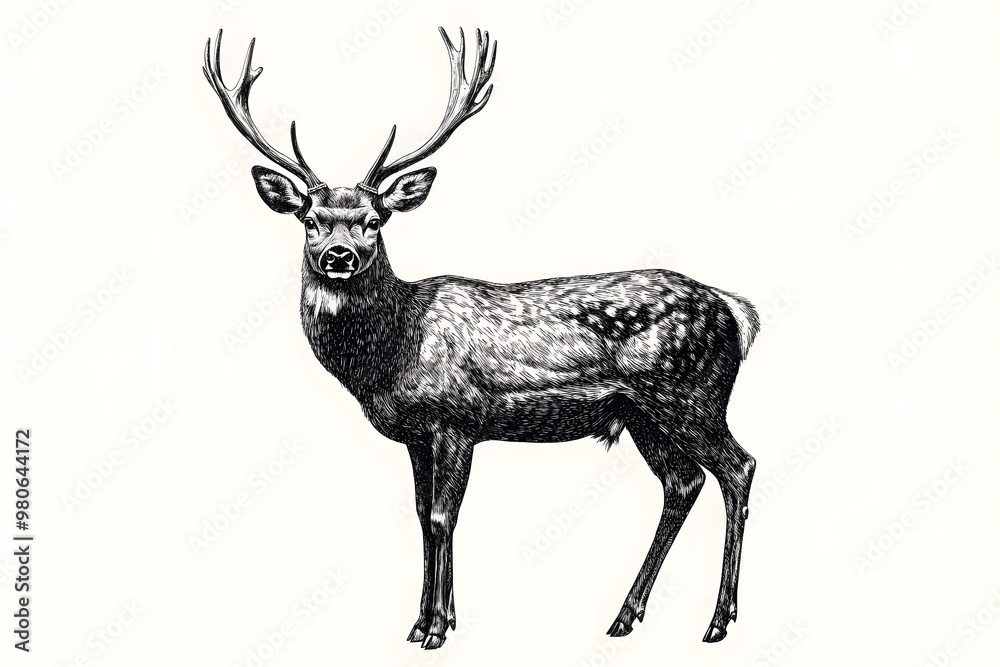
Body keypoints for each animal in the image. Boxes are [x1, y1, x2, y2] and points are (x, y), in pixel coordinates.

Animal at [203, 27, 759, 650]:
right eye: (310, 220)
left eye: (375, 221)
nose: (339, 255)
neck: (393, 353)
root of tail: (736, 311)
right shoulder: (416, 435)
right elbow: (421, 516)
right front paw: (422, 621)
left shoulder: (457, 419)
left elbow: (443, 516)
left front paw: (437, 629)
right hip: (646, 416)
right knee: (683, 483)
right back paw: (624, 617)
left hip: (692, 397)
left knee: (738, 468)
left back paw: (718, 621)